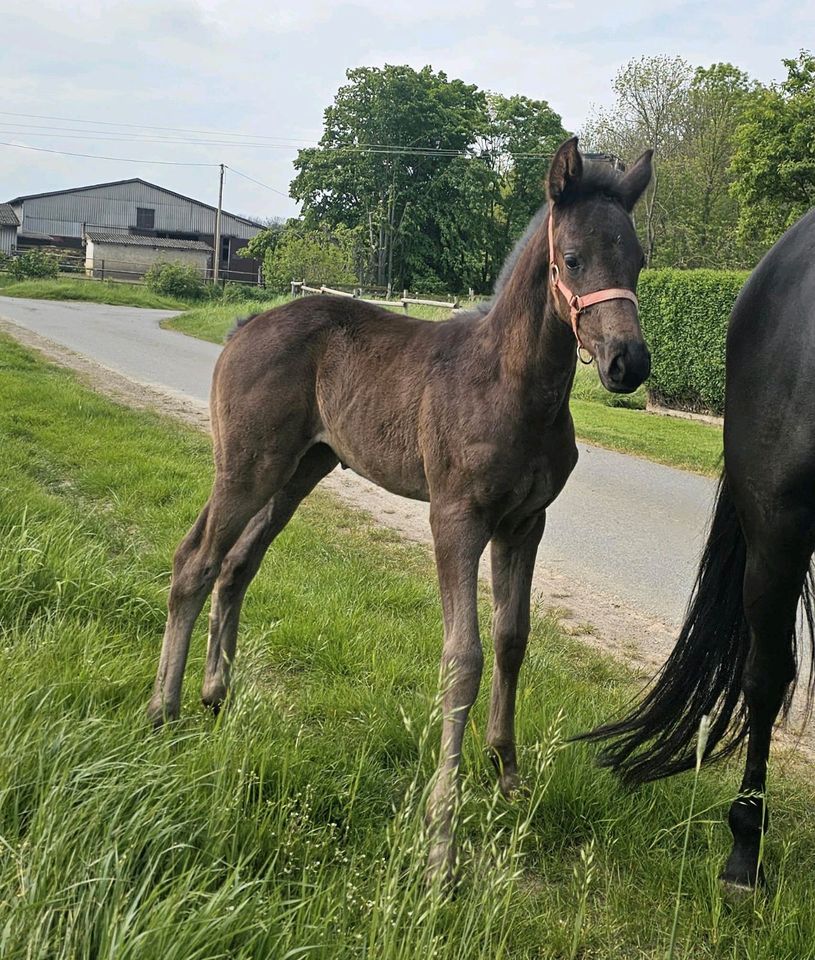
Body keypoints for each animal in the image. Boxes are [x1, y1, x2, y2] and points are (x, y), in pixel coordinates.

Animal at [150, 137, 652, 884]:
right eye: (572, 258)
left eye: (639, 259)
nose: (628, 363)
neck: (514, 386)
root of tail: (244, 326)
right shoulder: (455, 519)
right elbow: (463, 657)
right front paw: (441, 842)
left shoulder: (524, 524)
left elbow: (512, 639)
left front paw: (507, 777)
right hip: (246, 467)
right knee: (196, 560)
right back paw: (164, 709)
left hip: (299, 472)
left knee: (237, 565)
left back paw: (217, 697)